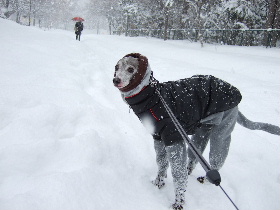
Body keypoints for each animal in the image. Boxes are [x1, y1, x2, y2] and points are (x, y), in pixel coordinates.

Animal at [112, 53, 278, 210]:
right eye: (116, 67)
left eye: (131, 69)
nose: (116, 80)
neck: (154, 98)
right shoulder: (158, 138)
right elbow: (161, 163)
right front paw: (159, 182)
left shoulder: (174, 138)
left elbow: (178, 174)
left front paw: (179, 202)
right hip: (203, 132)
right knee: (194, 157)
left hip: (221, 131)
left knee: (217, 155)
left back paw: (207, 178)